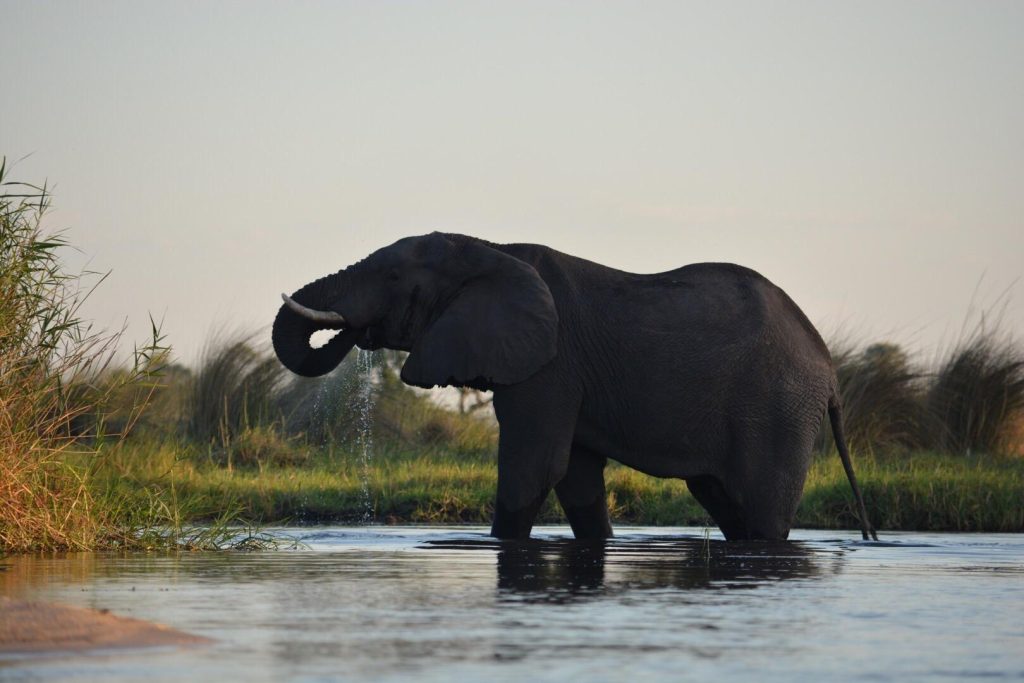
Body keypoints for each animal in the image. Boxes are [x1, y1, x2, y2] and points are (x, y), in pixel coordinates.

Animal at [272, 232, 877, 542]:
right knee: (726, 504)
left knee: (762, 508)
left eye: (395, 278)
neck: (489, 246)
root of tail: (828, 370)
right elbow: (576, 477)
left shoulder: (551, 364)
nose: (354, 334)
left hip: (778, 408)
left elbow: (534, 467)